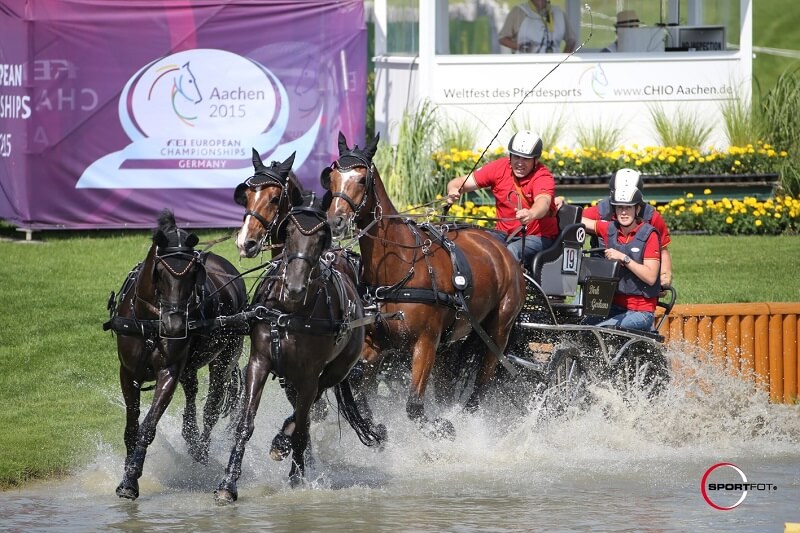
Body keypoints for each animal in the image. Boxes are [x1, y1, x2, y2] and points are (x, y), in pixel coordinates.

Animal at [106, 208, 248, 498]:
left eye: (194, 274)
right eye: (159, 272)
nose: (175, 325)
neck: (151, 323)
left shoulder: (169, 372)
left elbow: (148, 426)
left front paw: (131, 479)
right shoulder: (127, 373)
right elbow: (131, 427)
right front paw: (126, 471)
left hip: (224, 358)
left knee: (211, 408)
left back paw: (201, 451)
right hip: (190, 365)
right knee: (192, 393)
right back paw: (191, 437)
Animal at [216, 192, 384, 502]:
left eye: (319, 238)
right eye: (290, 233)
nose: (294, 287)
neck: (289, 312)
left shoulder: (309, 375)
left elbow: (300, 428)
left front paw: (293, 470)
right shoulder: (259, 363)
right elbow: (245, 424)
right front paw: (228, 483)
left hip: (332, 372)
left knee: (305, 416)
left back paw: (287, 451)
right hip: (289, 378)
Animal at [322, 131, 528, 434]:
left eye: (361, 179)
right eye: (333, 176)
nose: (335, 221)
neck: (400, 267)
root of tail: (503, 249)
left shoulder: (426, 344)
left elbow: (414, 408)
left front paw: (444, 429)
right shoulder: (376, 347)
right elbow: (361, 391)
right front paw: (374, 430)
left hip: (498, 330)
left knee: (482, 384)